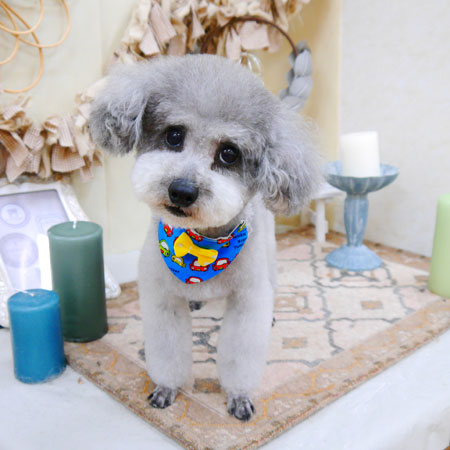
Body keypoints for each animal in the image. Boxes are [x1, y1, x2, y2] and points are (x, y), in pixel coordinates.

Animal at [89, 54, 320, 421]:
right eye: (173, 135)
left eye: (229, 153)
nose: (182, 191)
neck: (205, 242)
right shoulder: (162, 297)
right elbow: (168, 350)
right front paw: (167, 388)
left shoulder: (247, 300)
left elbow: (240, 355)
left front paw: (238, 396)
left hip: (269, 253)